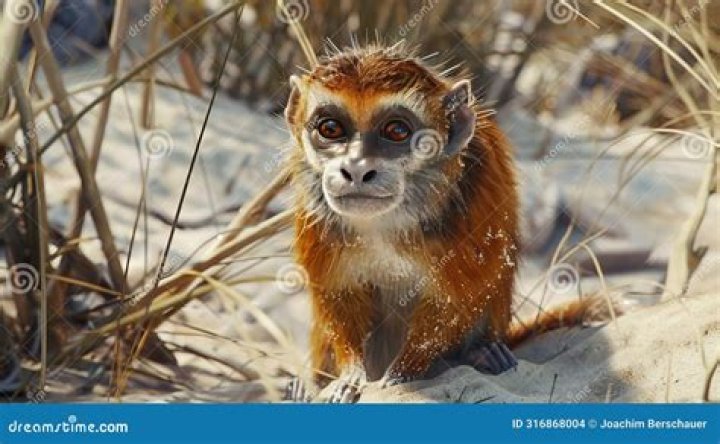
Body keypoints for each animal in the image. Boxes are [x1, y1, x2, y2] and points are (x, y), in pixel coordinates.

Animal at [284, 44, 607, 402]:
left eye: (396, 131)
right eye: (330, 128)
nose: (356, 169)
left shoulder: (477, 193)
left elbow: (455, 299)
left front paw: (399, 377)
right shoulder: (315, 213)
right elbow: (339, 291)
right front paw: (350, 376)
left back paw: (483, 353)